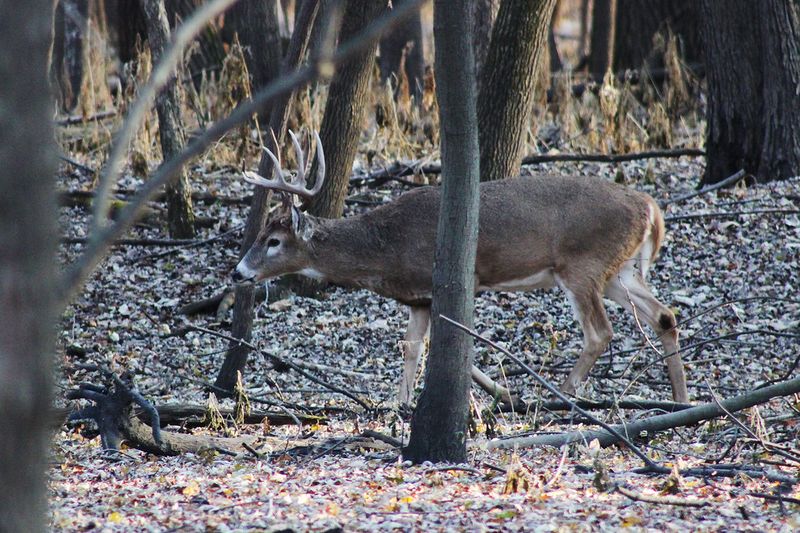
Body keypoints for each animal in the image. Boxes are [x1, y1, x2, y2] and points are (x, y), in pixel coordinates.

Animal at [231, 131, 690, 408]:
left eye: (273, 241)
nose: (237, 273)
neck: (385, 248)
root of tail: (650, 207)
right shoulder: (417, 297)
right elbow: (415, 347)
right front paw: (400, 402)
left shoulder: (454, 279)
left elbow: (450, 343)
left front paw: (504, 392)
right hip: (620, 271)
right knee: (664, 315)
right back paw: (681, 399)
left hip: (582, 264)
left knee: (600, 331)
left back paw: (558, 394)